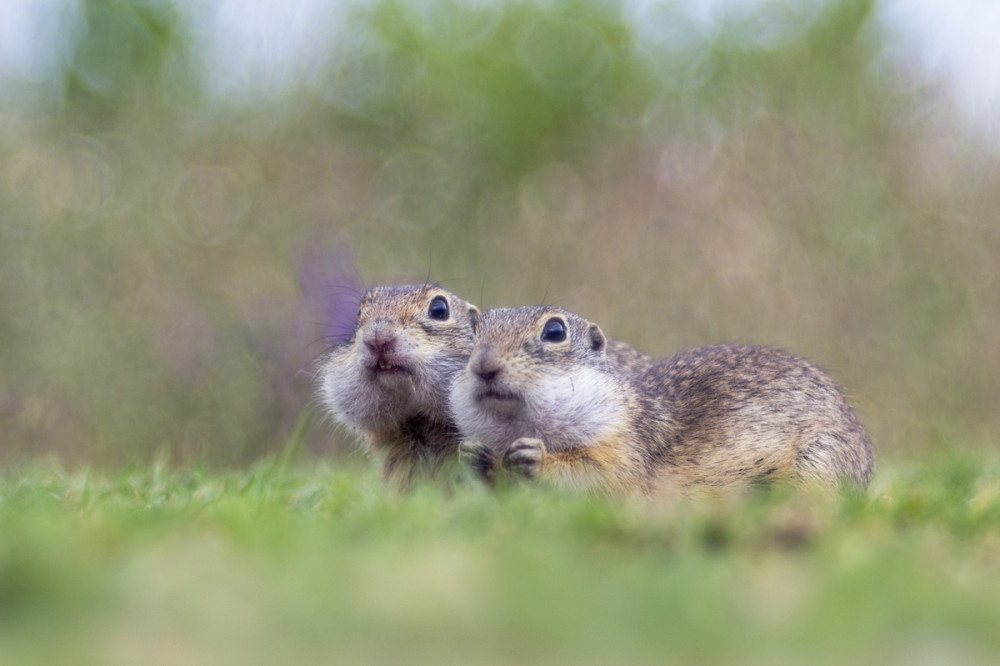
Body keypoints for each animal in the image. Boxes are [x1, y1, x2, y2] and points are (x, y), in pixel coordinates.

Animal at [450, 306, 872, 492]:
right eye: (476, 329)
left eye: (555, 332)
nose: (484, 366)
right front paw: (477, 456)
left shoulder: (625, 446)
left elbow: (597, 474)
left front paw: (536, 457)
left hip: (820, 460)